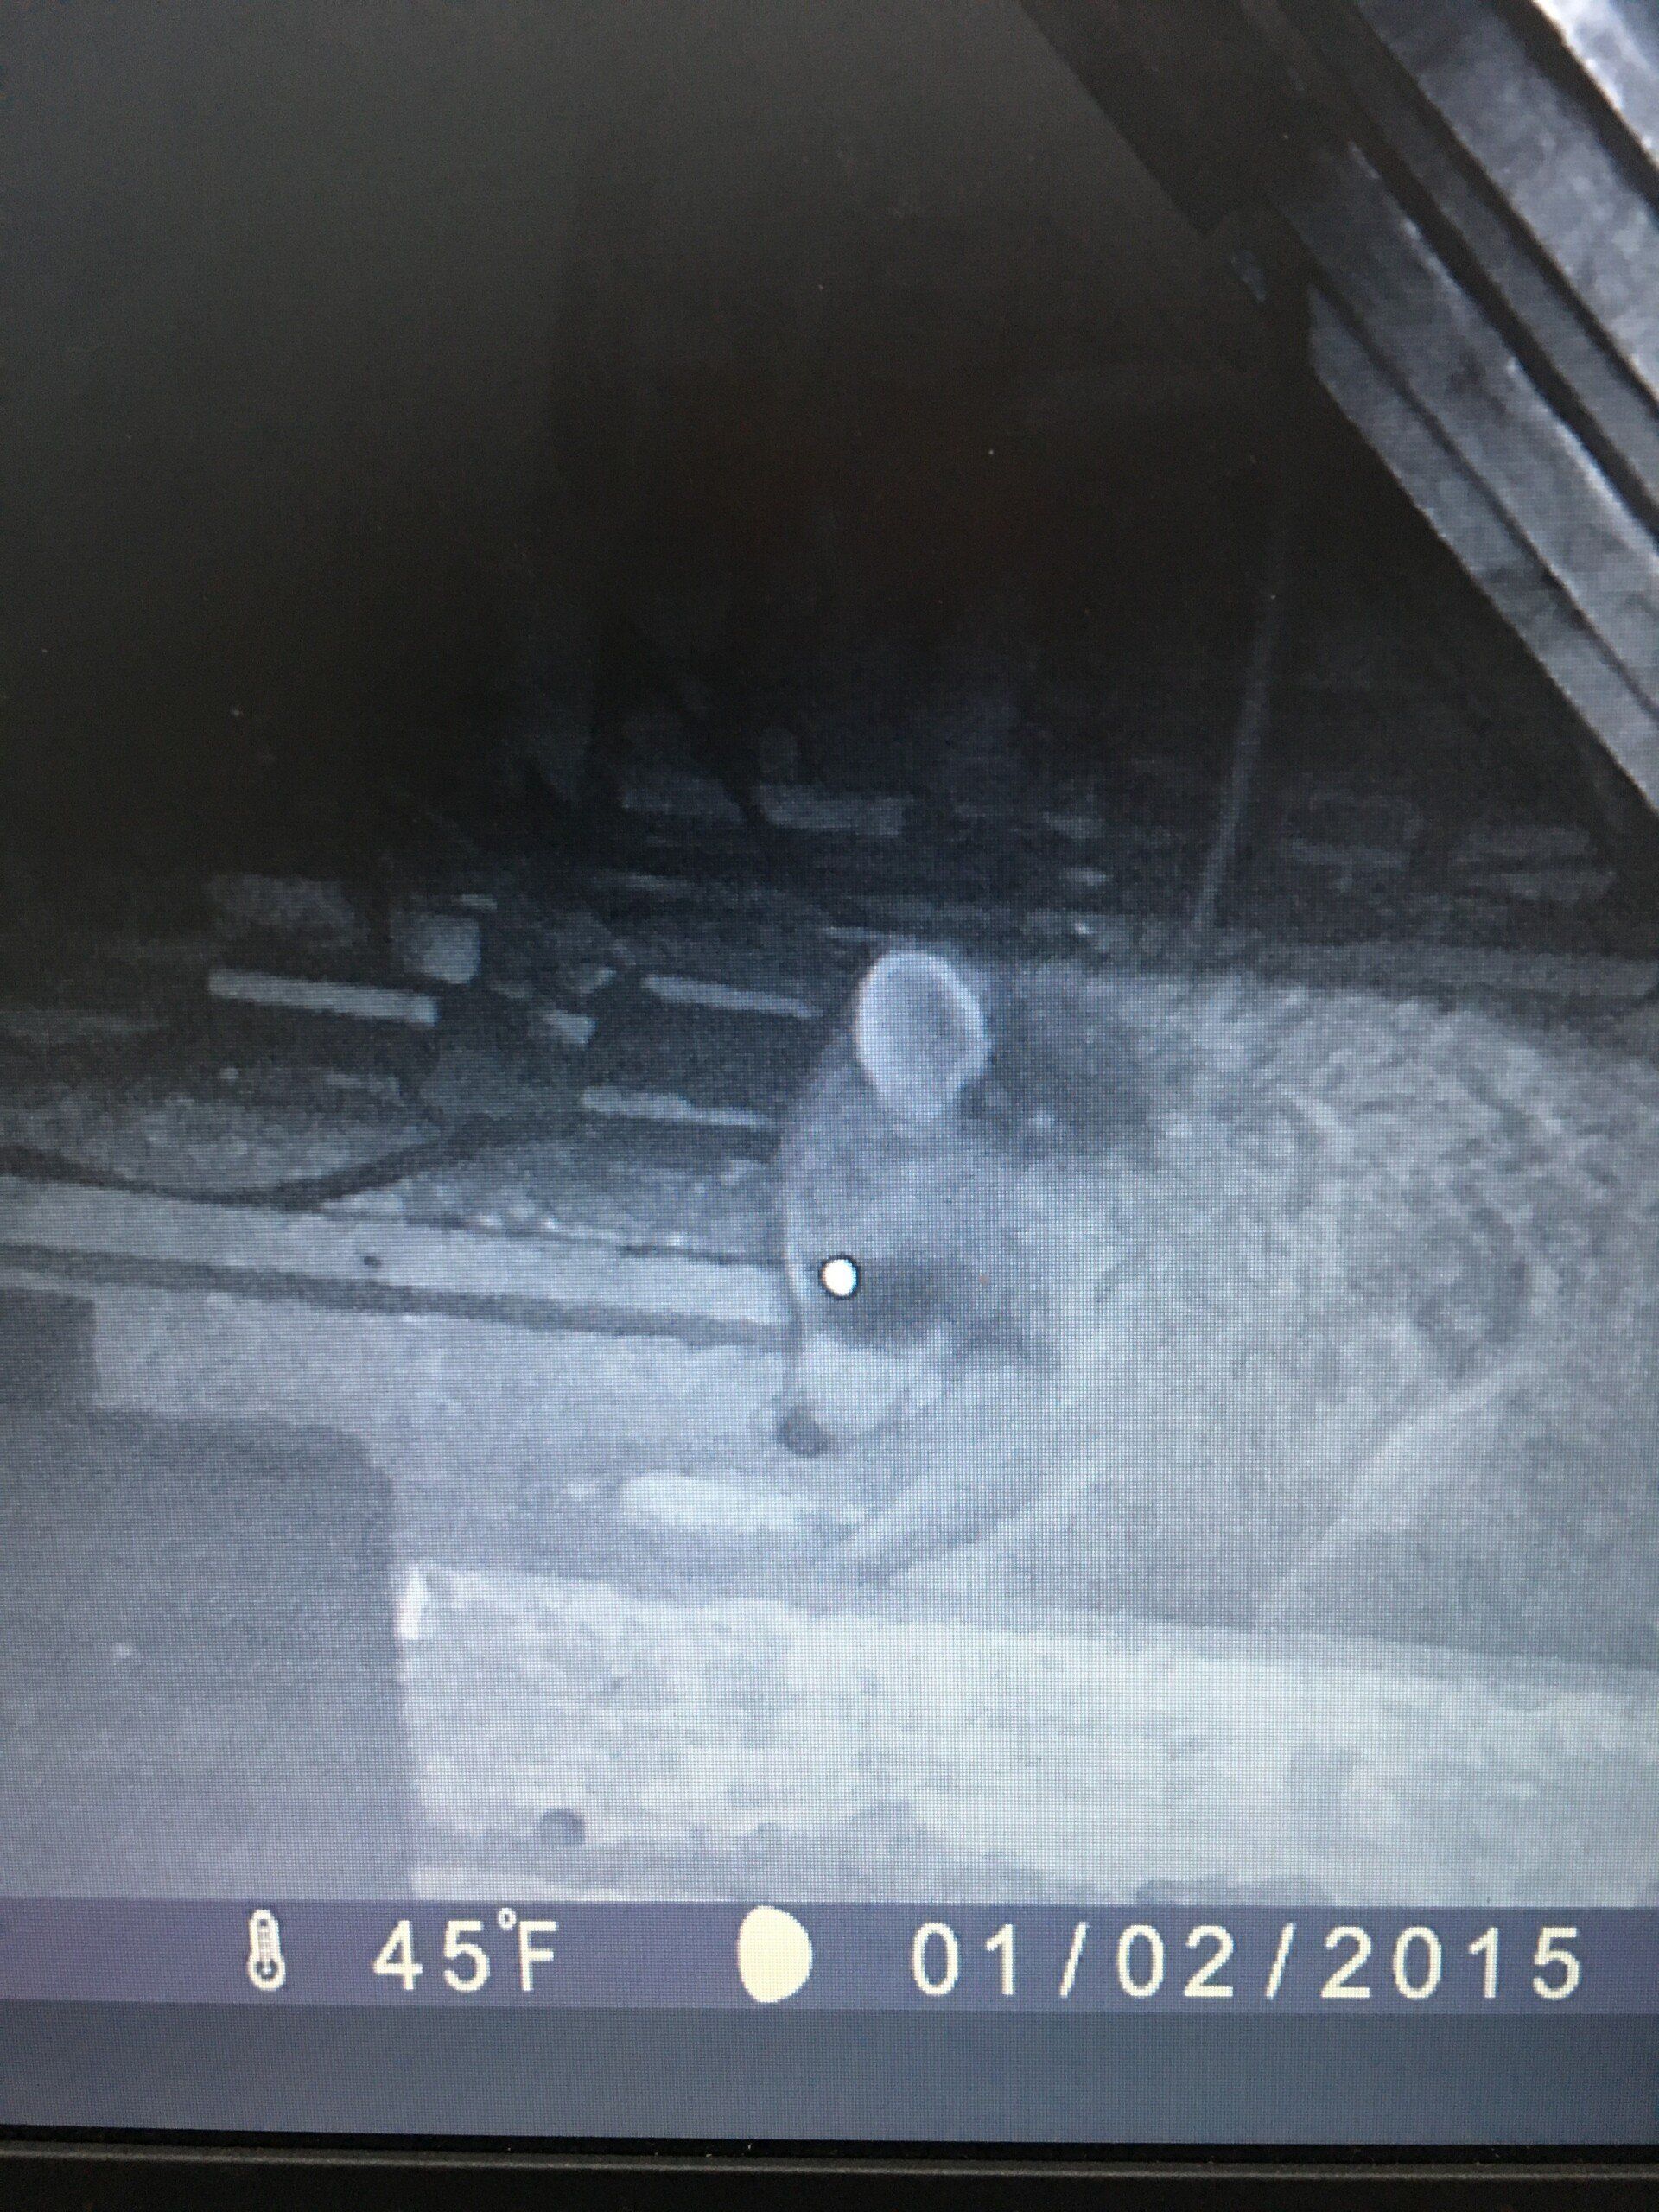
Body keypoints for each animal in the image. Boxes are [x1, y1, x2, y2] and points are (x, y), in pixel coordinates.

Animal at [776, 948, 1659, 1666]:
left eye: (838, 1278)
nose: (795, 1433)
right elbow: (1028, 1442)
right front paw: (883, 1540)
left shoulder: (1277, 1317)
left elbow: (1182, 1513)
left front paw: (959, 1575)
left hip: (1574, 1424)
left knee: (1400, 1544)